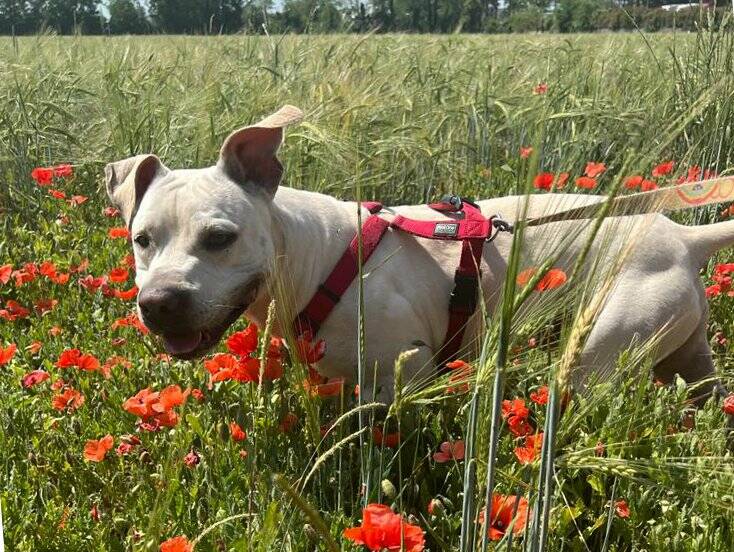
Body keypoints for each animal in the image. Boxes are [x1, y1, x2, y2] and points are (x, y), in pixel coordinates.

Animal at [105, 106, 734, 402]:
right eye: (142, 240)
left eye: (220, 237)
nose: (158, 303)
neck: (318, 260)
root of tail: (684, 236)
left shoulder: (405, 372)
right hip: (686, 352)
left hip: (595, 356)